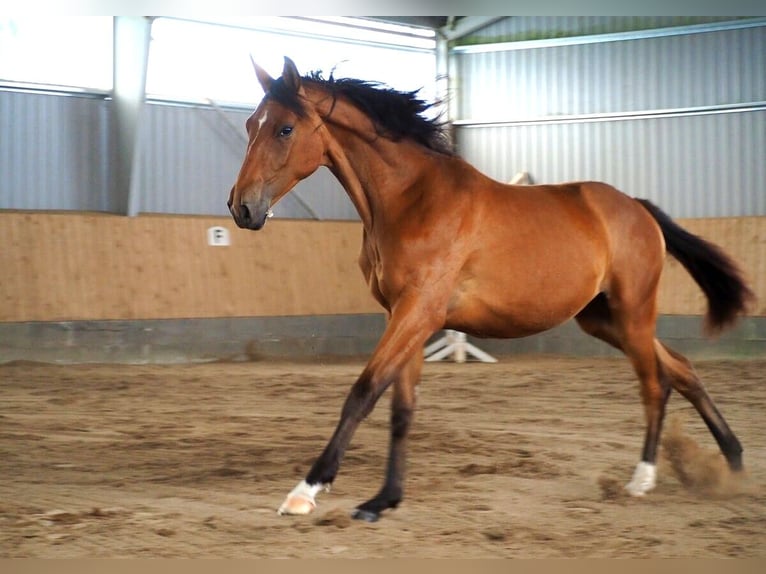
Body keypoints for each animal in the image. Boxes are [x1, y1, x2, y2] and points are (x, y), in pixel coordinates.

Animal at [228, 57, 756, 520]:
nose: (241, 208)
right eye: (251, 124)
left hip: (632, 311)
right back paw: (733, 461)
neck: (410, 199)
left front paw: (305, 491)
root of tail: (637, 207)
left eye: (284, 129)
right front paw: (384, 500)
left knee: (654, 382)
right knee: (680, 369)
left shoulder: (418, 311)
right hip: (603, 320)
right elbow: (402, 408)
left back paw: (643, 478)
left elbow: (363, 392)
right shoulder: (405, 315)